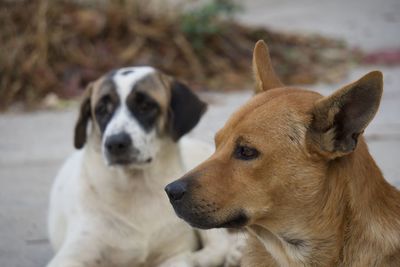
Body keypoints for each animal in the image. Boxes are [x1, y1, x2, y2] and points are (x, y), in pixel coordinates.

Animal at [47, 67, 238, 267]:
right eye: (101, 109)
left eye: (145, 106)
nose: (115, 143)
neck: (137, 188)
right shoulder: (70, 257)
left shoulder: (174, 254)